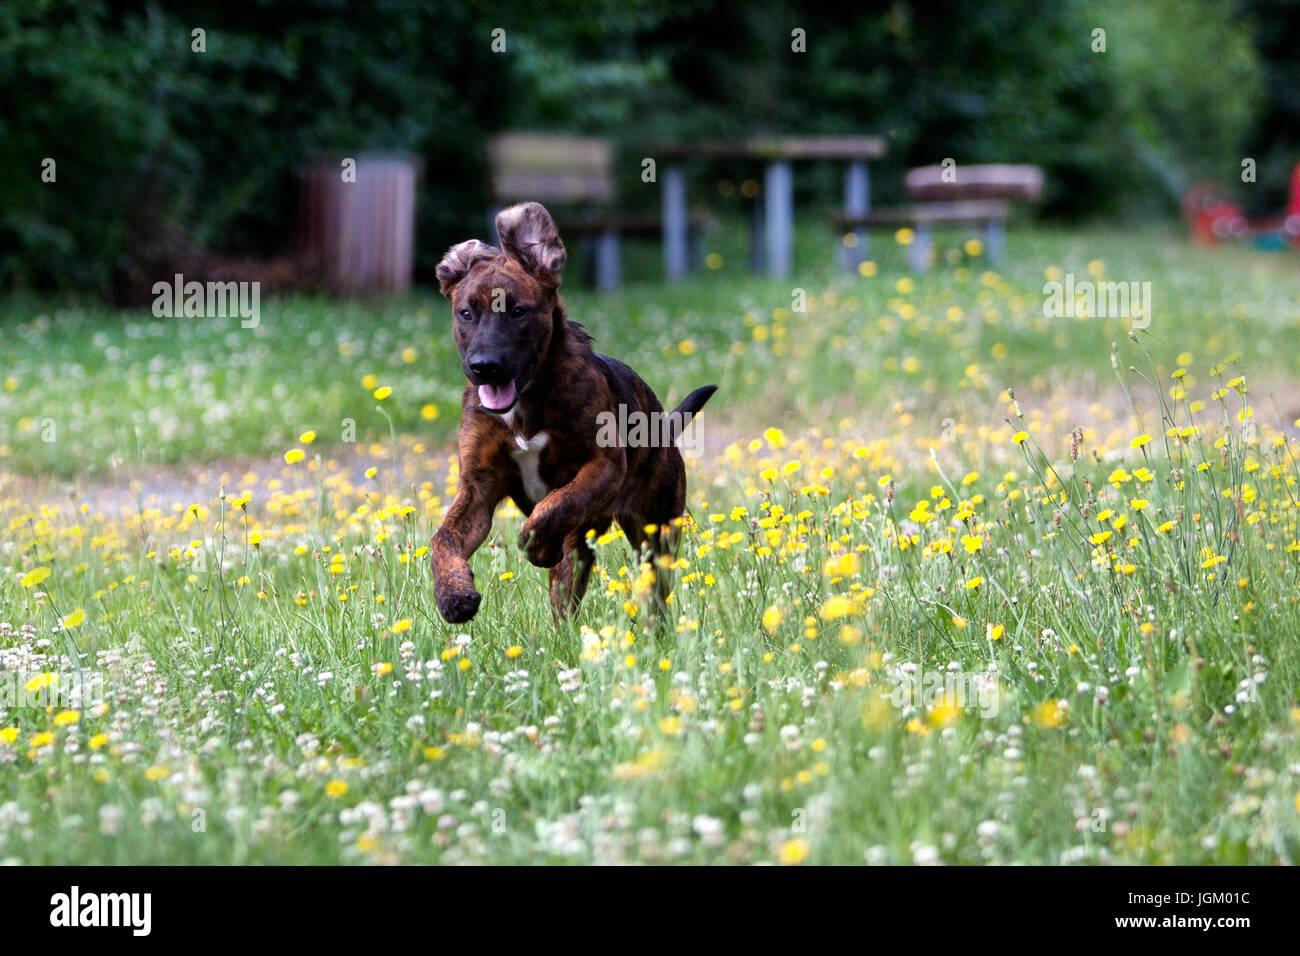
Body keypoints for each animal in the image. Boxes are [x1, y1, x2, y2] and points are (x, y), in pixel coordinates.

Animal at [428, 199, 717, 624]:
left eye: (518, 311)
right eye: (466, 313)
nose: (484, 366)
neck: (526, 403)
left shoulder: (603, 465)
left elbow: (556, 505)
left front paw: (536, 543)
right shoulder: (477, 488)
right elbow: (442, 538)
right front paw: (453, 595)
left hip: (656, 529)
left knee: (651, 591)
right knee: (567, 595)